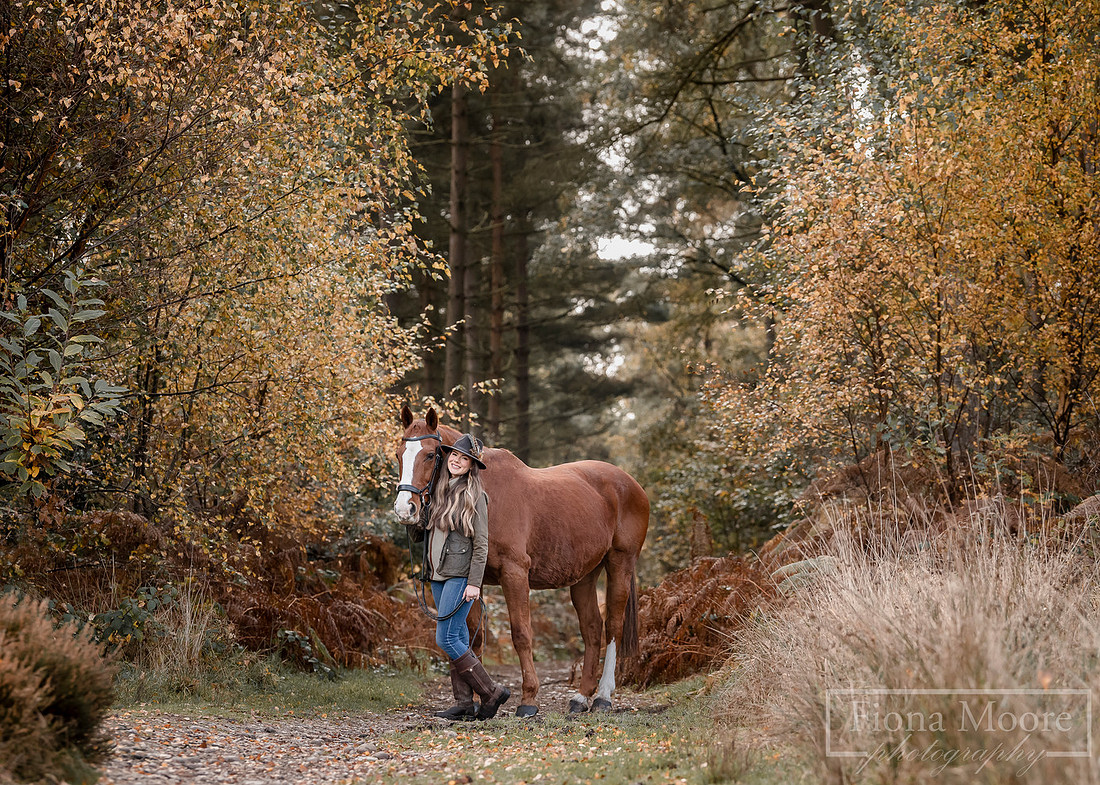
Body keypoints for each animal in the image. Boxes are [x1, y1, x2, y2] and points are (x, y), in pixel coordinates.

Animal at [392, 405, 650, 717]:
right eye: (398, 454)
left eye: (430, 454)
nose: (405, 509)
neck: (487, 492)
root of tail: (631, 483)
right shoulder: (472, 580)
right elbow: (473, 637)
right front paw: (480, 703)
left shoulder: (514, 574)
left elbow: (521, 634)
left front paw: (528, 699)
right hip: (585, 576)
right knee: (591, 629)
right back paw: (580, 698)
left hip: (620, 564)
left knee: (613, 626)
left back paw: (603, 697)